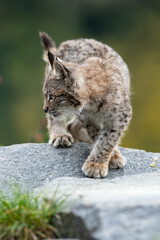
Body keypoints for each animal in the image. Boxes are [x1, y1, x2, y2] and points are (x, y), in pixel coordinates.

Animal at [39, 31, 132, 178]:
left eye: (51, 97)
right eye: (47, 96)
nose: (44, 109)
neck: (93, 103)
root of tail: (70, 41)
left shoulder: (121, 117)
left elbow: (108, 140)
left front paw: (97, 163)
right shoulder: (88, 118)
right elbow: (99, 137)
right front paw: (105, 160)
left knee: (71, 125)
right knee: (62, 122)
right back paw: (60, 136)